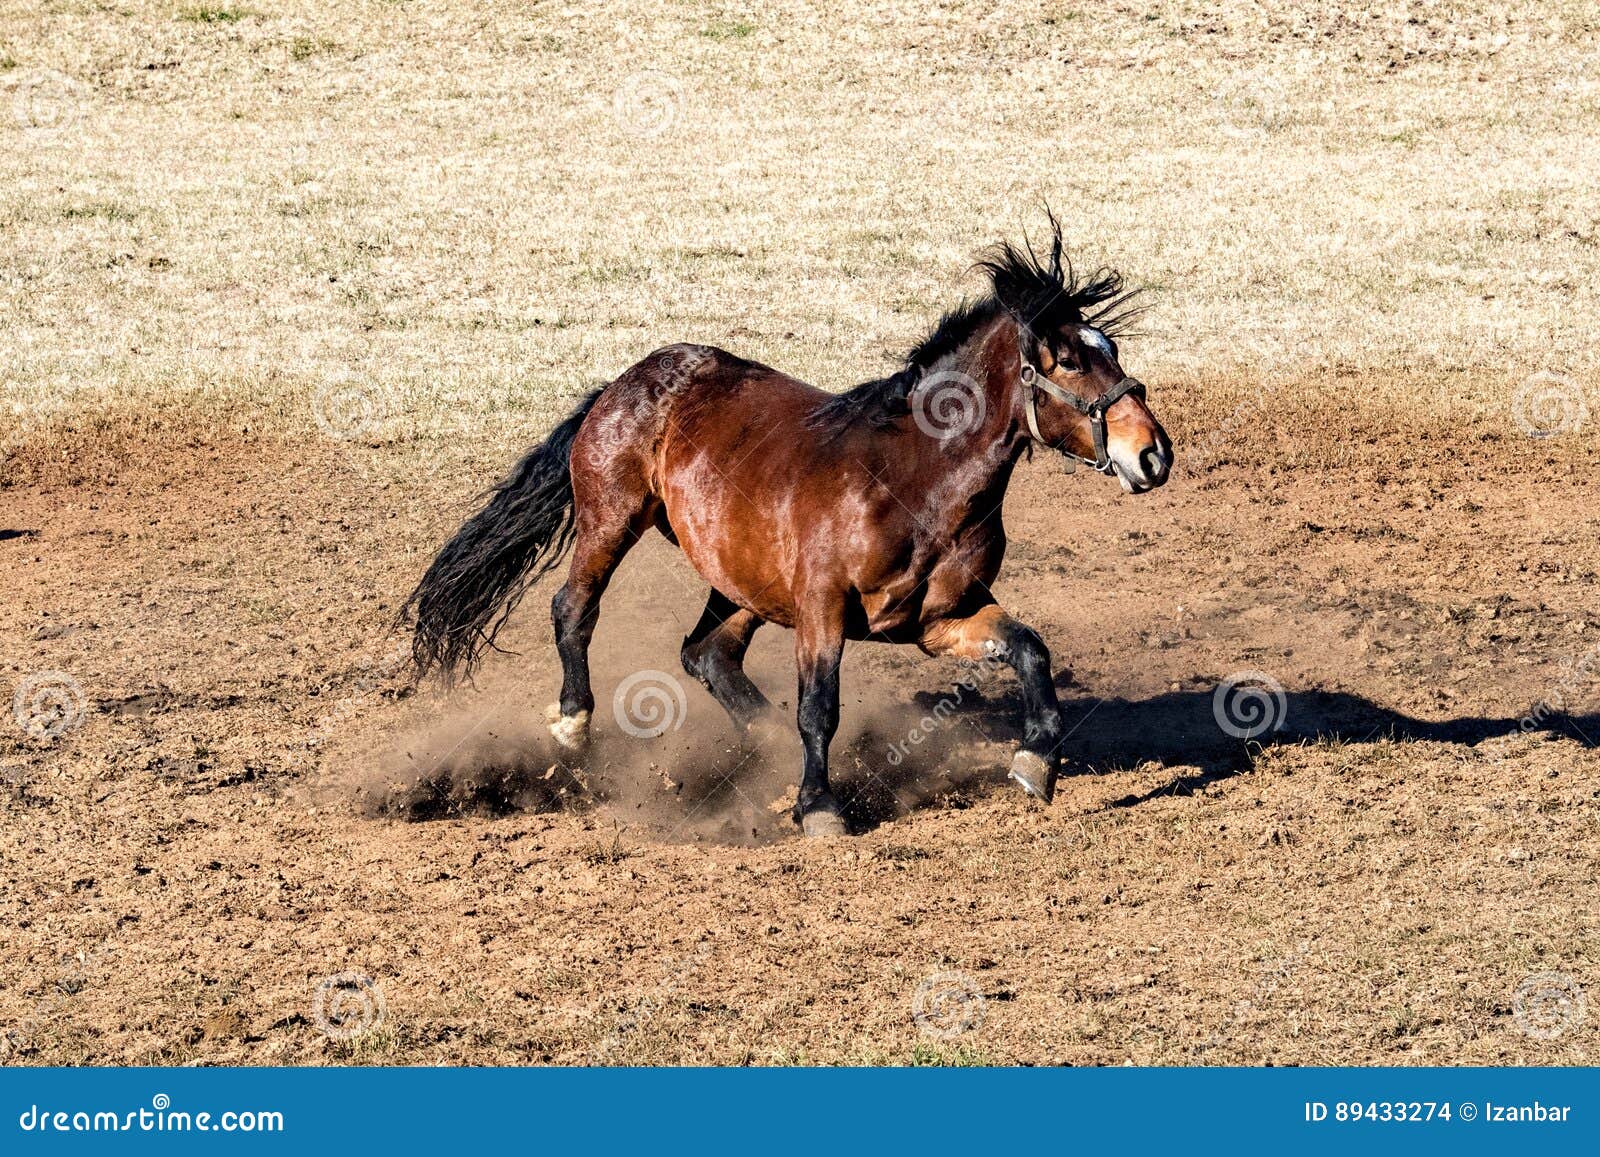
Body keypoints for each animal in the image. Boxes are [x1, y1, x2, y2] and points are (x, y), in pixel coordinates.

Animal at [403, 216, 1172, 837]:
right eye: (1068, 359)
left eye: (1111, 349)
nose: (1154, 454)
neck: (915, 481)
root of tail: (625, 382)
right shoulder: (822, 607)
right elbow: (819, 708)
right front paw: (820, 807)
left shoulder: (939, 619)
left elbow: (1030, 650)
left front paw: (1036, 761)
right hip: (612, 521)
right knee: (575, 608)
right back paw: (572, 723)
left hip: (741, 579)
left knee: (706, 652)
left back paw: (764, 742)